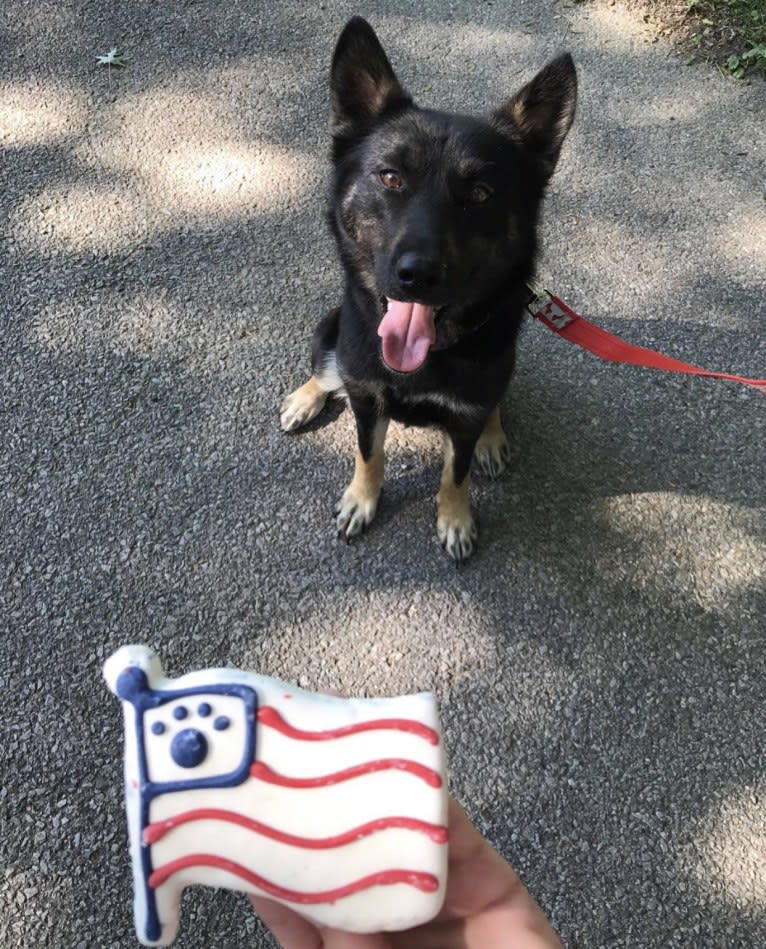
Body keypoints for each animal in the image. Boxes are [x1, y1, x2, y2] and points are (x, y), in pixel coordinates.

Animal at [280, 14, 576, 560]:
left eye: (480, 193)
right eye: (391, 177)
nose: (417, 275)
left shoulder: (464, 416)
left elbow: (455, 473)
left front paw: (454, 518)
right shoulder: (367, 397)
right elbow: (368, 452)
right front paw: (362, 499)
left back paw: (493, 438)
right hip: (332, 332)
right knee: (328, 368)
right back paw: (306, 398)